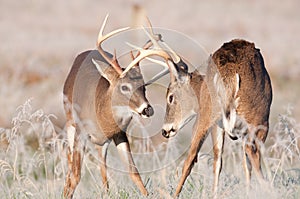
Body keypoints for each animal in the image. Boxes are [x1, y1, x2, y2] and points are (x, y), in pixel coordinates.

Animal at [61, 15, 162, 199]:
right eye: (124, 87)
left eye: (144, 86)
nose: (147, 109)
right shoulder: (81, 131)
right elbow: (76, 175)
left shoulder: (119, 134)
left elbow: (134, 172)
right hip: (70, 123)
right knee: (71, 165)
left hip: (101, 143)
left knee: (103, 170)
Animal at [127, 35, 274, 196]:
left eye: (170, 97)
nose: (165, 131)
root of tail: (231, 75)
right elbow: (227, 161)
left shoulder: (215, 123)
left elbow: (215, 160)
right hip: (258, 116)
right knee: (250, 153)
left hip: (208, 116)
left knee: (191, 158)